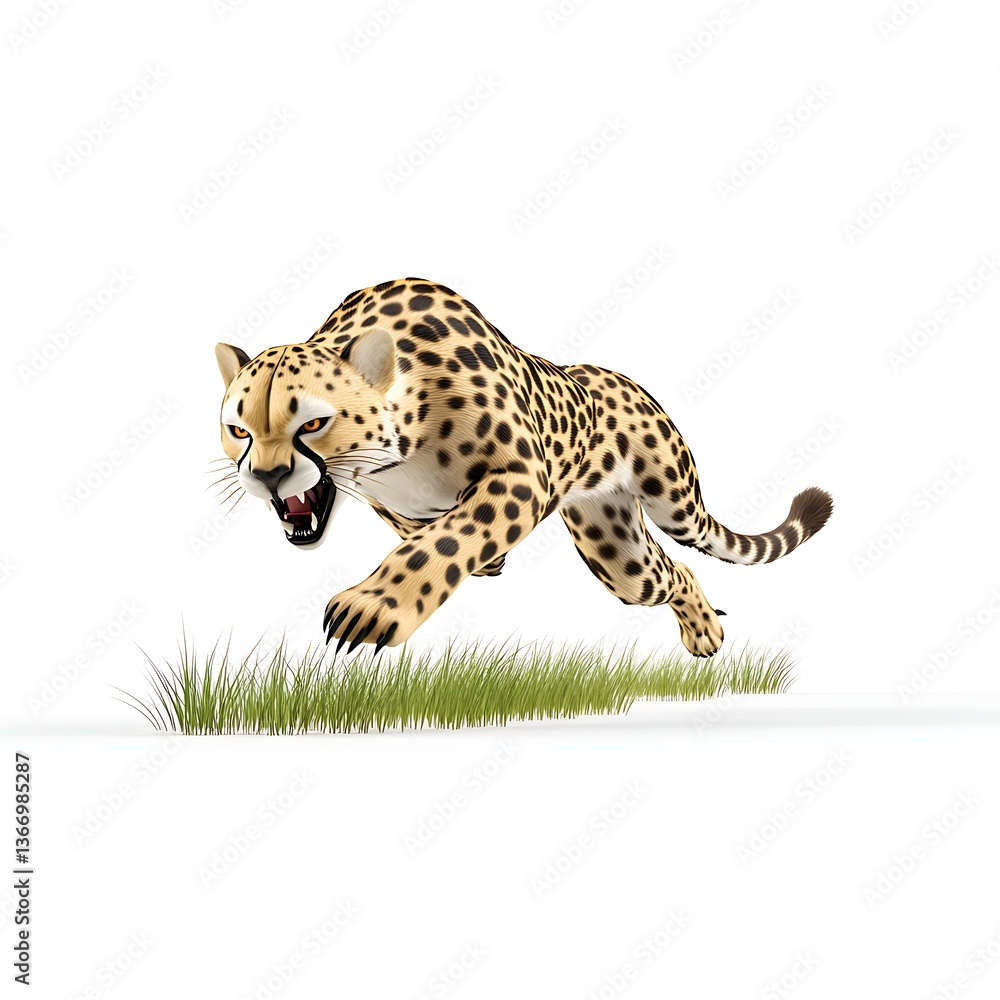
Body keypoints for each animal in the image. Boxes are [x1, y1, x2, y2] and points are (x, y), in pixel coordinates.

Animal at [214, 277, 833, 656]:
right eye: (239, 429)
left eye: (313, 423)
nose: (267, 475)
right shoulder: (388, 499)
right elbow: (422, 530)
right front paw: (486, 561)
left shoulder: (521, 477)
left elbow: (444, 542)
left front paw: (372, 607)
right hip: (615, 548)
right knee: (665, 571)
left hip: (672, 504)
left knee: (684, 556)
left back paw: (705, 630)